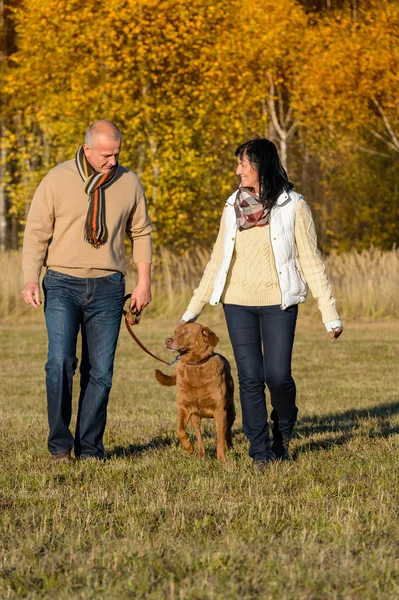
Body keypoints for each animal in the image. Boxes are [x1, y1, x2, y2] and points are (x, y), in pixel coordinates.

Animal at [154, 324, 234, 460]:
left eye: (187, 332)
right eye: (176, 331)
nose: (167, 341)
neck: (195, 364)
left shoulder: (220, 411)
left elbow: (220, 439)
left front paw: (222, 459)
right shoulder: (184, 409)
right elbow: (180, 430)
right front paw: (188, 447)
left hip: (230, 411)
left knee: (227, 430)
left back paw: (230, 447)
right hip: (195, 418)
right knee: (199, 437)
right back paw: (201, 456)